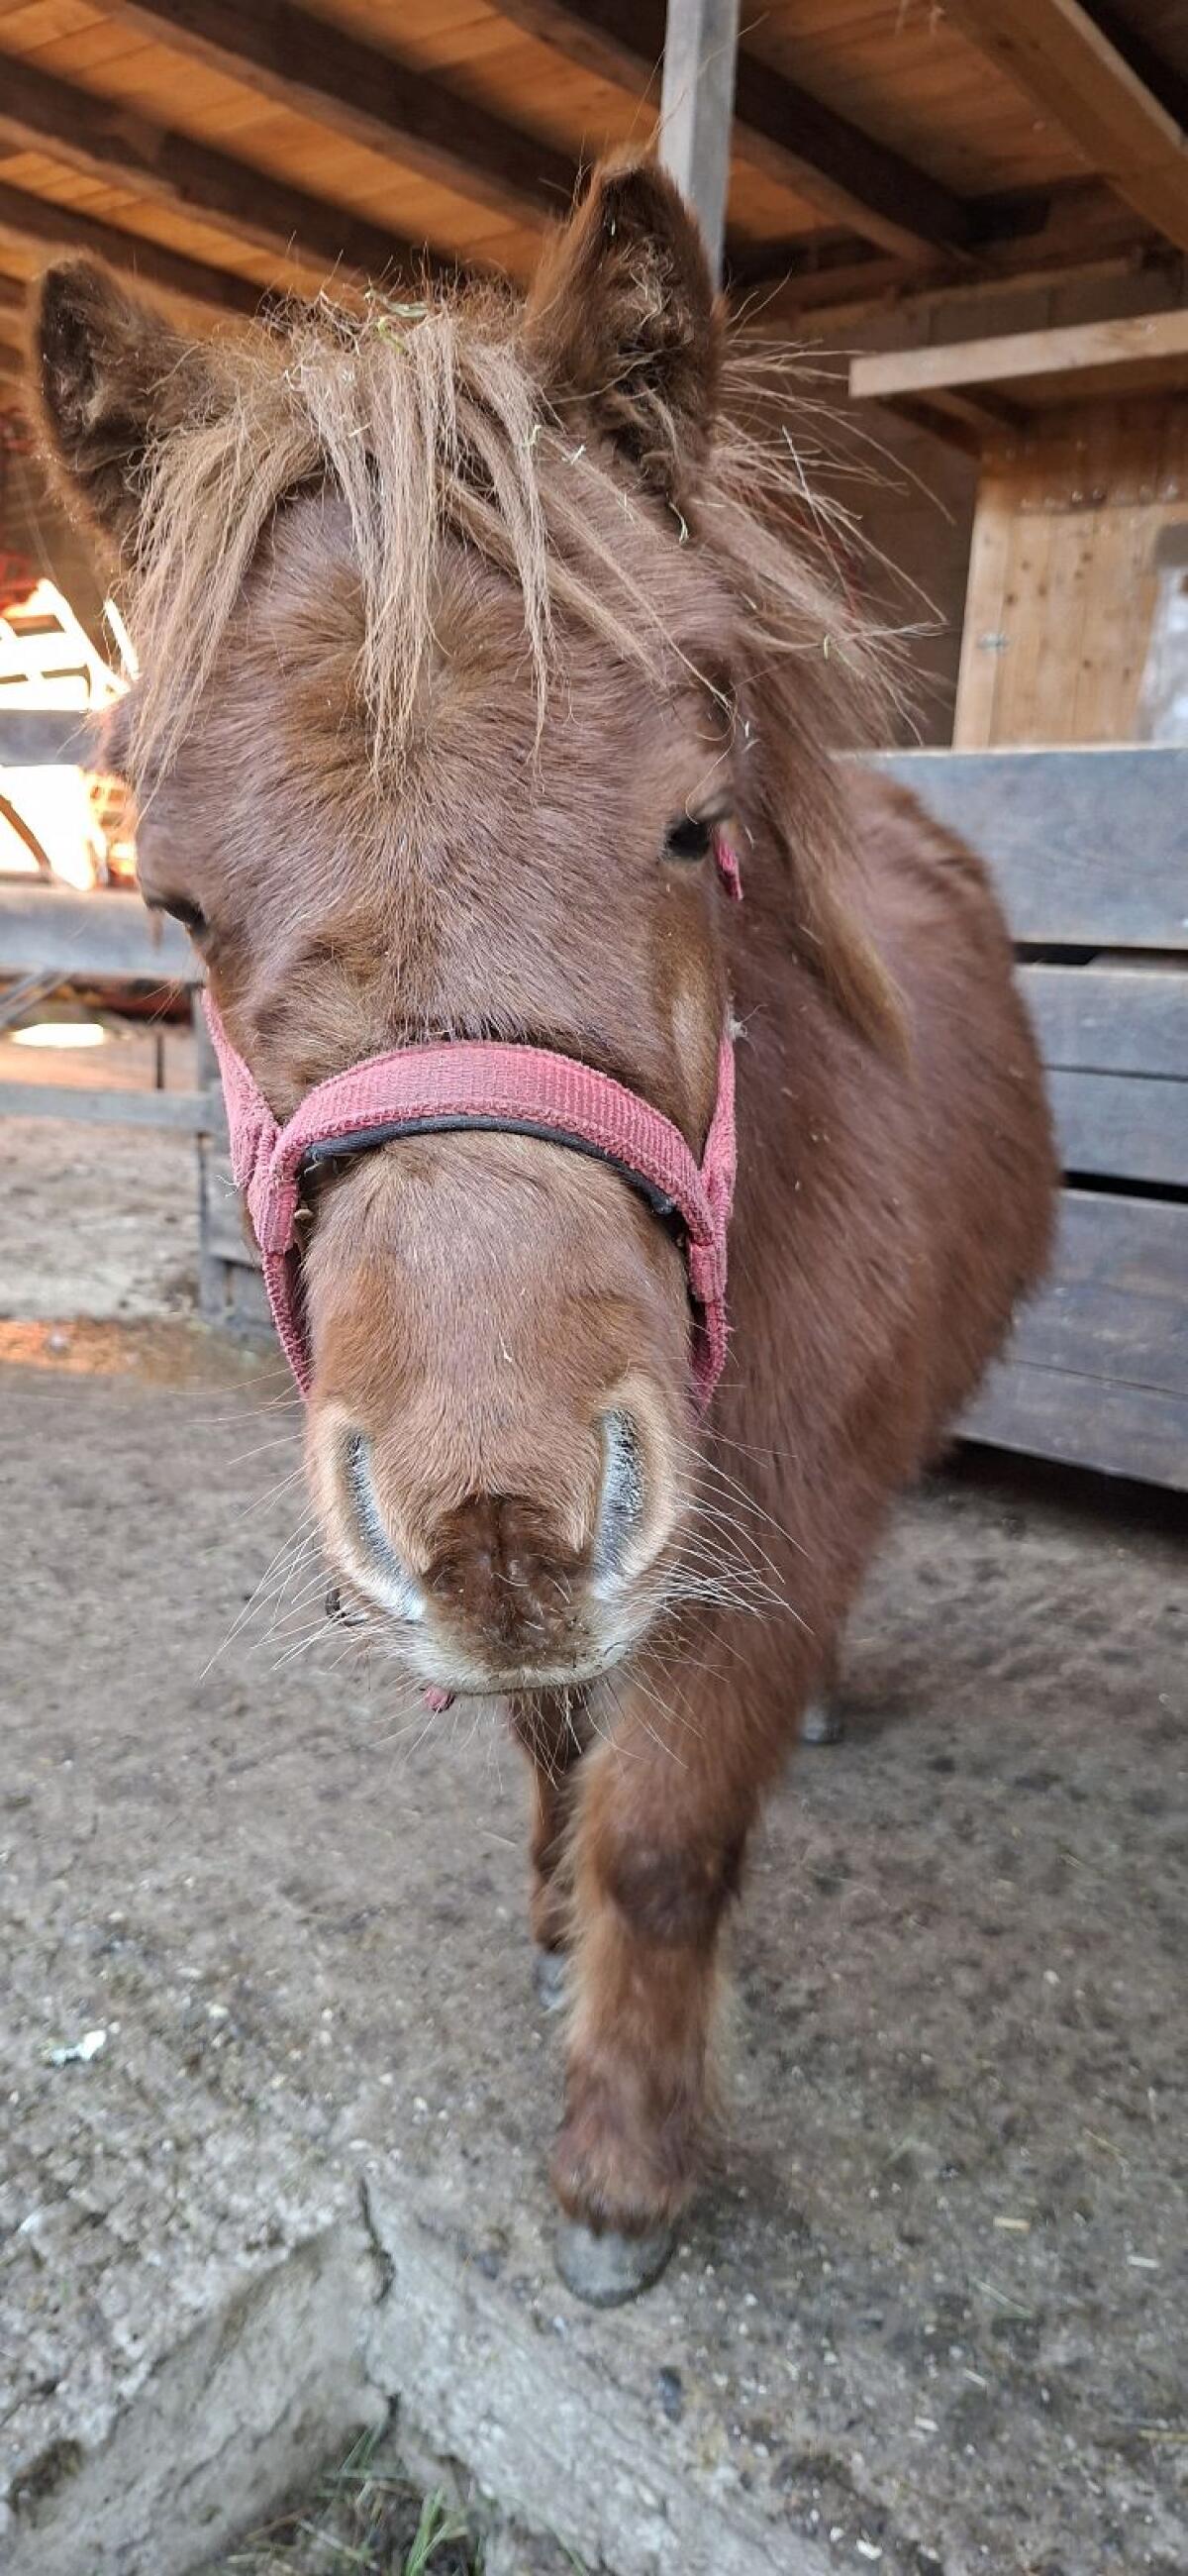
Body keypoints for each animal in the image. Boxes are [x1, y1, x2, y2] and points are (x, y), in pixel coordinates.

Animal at [31, 152, 1056, 2305]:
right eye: (172, 904)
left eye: (695, 821)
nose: (498, 1512)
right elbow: (550, 1744)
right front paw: (544, 1912)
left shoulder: (772, 1523)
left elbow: (665, 1832)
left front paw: (623, 2170)